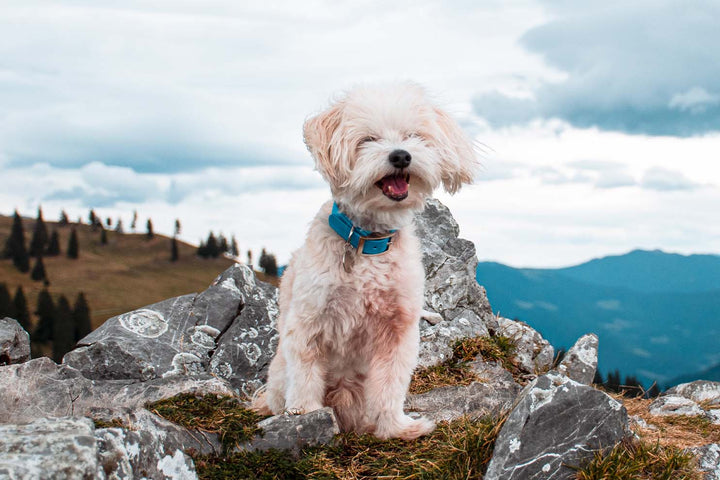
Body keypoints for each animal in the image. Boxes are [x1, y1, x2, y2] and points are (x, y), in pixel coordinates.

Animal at [253, 84, 478, 440]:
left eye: (413, 136)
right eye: (368, 139)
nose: (401, 155)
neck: (368, 242)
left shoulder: (398, 330)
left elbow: (390, 385)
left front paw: (395, 428)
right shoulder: (308, 323)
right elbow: (304, 378)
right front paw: (304, 417)